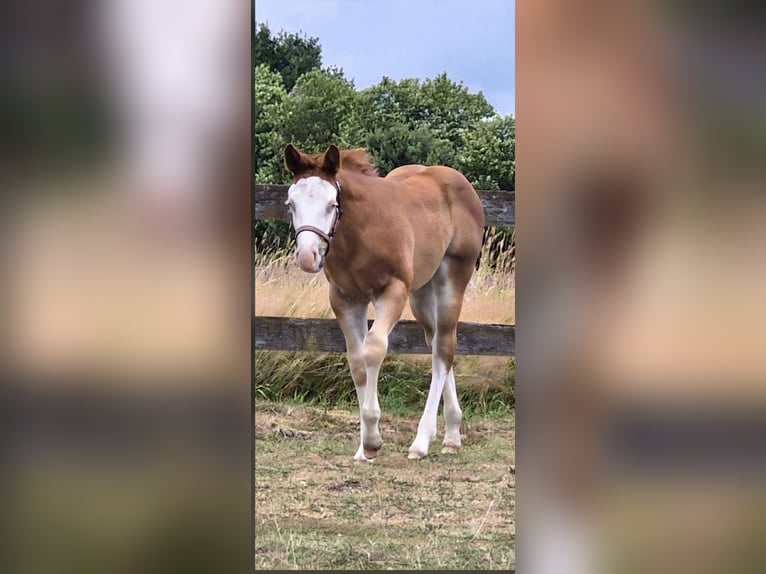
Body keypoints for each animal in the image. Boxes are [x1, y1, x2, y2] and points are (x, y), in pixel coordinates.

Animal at [283, 143, 485, 460]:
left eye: (331, 204)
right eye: (291, 203)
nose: (307, 257)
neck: (358, 235)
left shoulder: (392, 291)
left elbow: (374, 349)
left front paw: (372, 441)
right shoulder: (344, 299)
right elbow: (356, 361)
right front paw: (363, 447)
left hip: (452, 277)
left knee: (444, 346)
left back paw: (422, 441)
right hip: (421, 293)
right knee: (435, 341)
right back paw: (452, 434)